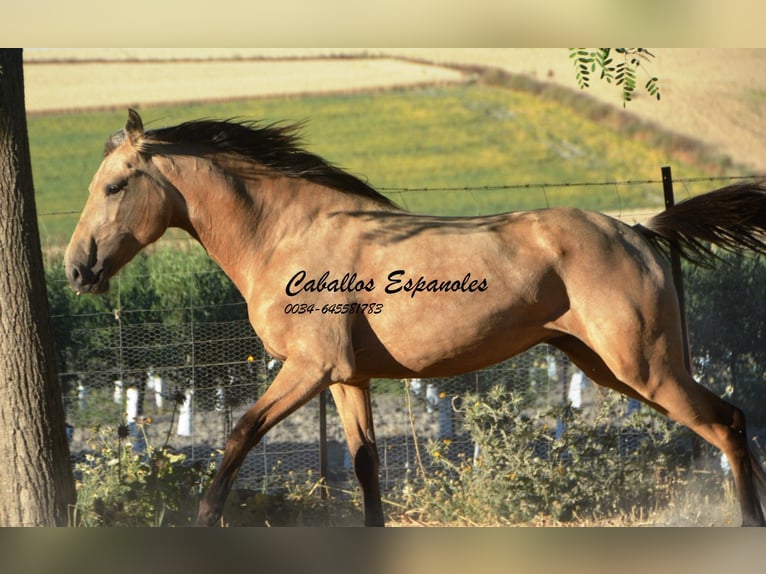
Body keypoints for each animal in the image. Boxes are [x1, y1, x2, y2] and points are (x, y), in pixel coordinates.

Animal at [64, 110, 766, 528]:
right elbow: (365, 465)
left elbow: (239, 434)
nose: (76, 269)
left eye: (115, 186)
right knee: (730, 420)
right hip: (607, 368)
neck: (285, 234)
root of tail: (639, 230)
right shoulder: (347, 378)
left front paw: (205, 518)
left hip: (645, 367)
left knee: (727, 422)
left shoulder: (307, 369)